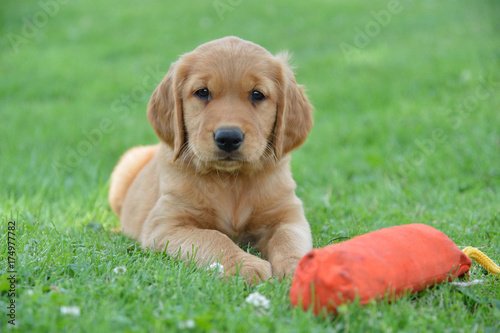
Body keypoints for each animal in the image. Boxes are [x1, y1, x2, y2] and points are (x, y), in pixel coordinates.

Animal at [109, 36, 312, 282]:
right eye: (202, 92)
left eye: (257, 94)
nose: (228, 138)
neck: (232, 180)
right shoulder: (166, 225)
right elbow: (215, 238)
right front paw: (246, 265)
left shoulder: (288, 214)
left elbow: (288, 239)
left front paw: (299, 268)